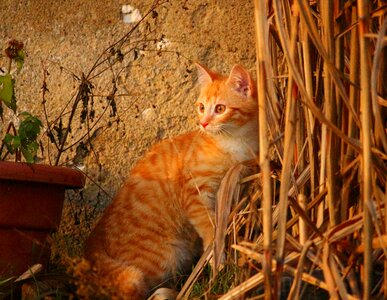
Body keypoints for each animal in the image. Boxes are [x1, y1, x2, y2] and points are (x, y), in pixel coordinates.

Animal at [83, 63, 260, 298]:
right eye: (201, 107)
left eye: (220, 109)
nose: (203, 123)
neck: (234, 143)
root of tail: (93, 241)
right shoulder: (195, 193)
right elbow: (210, 227)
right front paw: (217, 258)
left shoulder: (237, 184)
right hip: (163, 257)